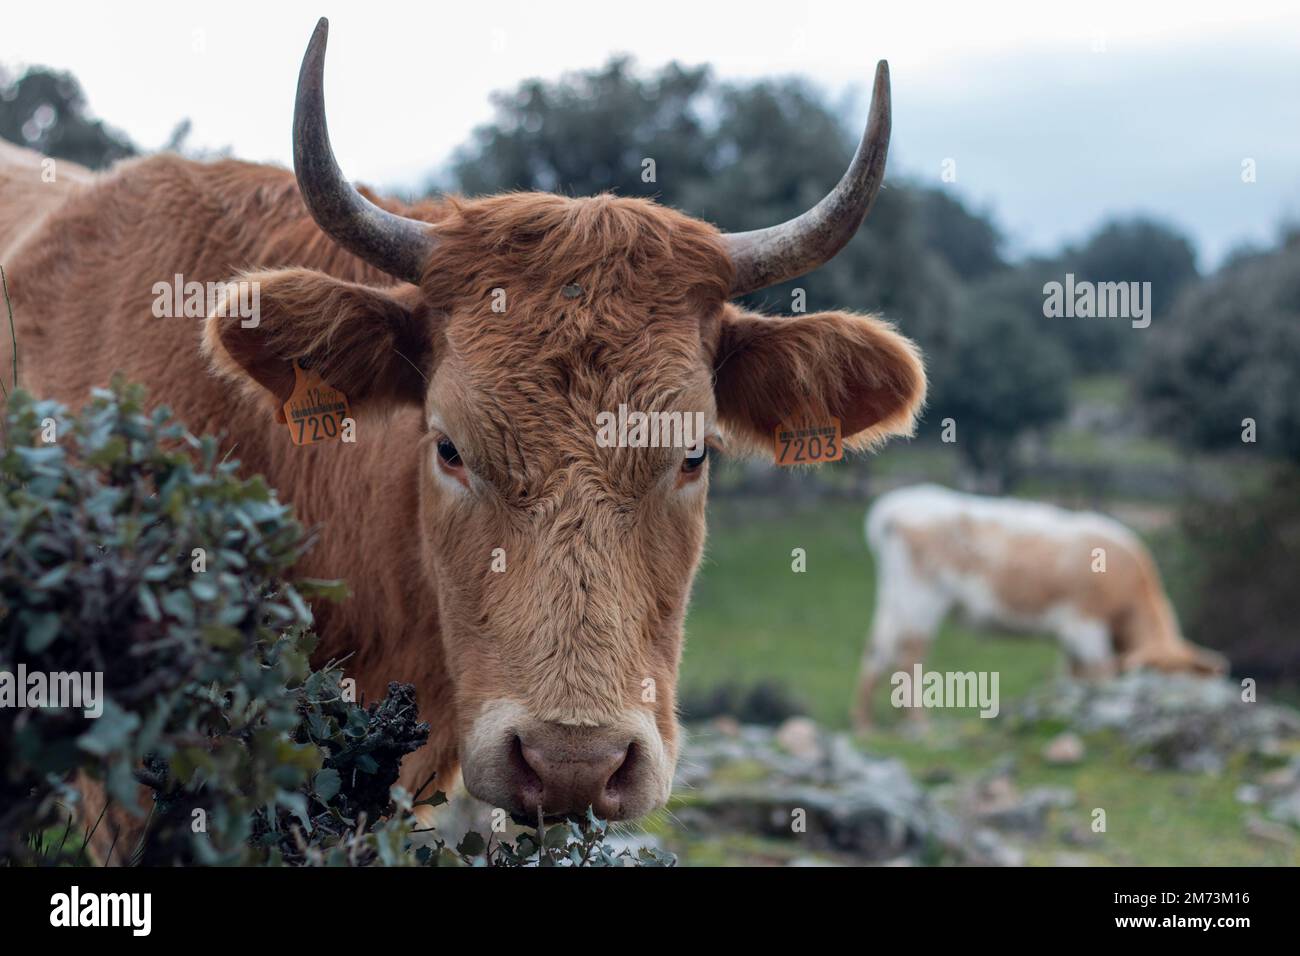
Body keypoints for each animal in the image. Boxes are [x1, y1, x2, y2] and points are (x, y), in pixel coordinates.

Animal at [852, 489, 1227, 728]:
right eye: (1151, 682)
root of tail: (895, 507)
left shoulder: (1072, 637)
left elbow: (1073, 674)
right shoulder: (1086, 625)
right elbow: (1099, 673)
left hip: (894, 596)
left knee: (876, 649)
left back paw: (865, 724)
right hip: (922, 597)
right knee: (909, 654)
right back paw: (919, 722)